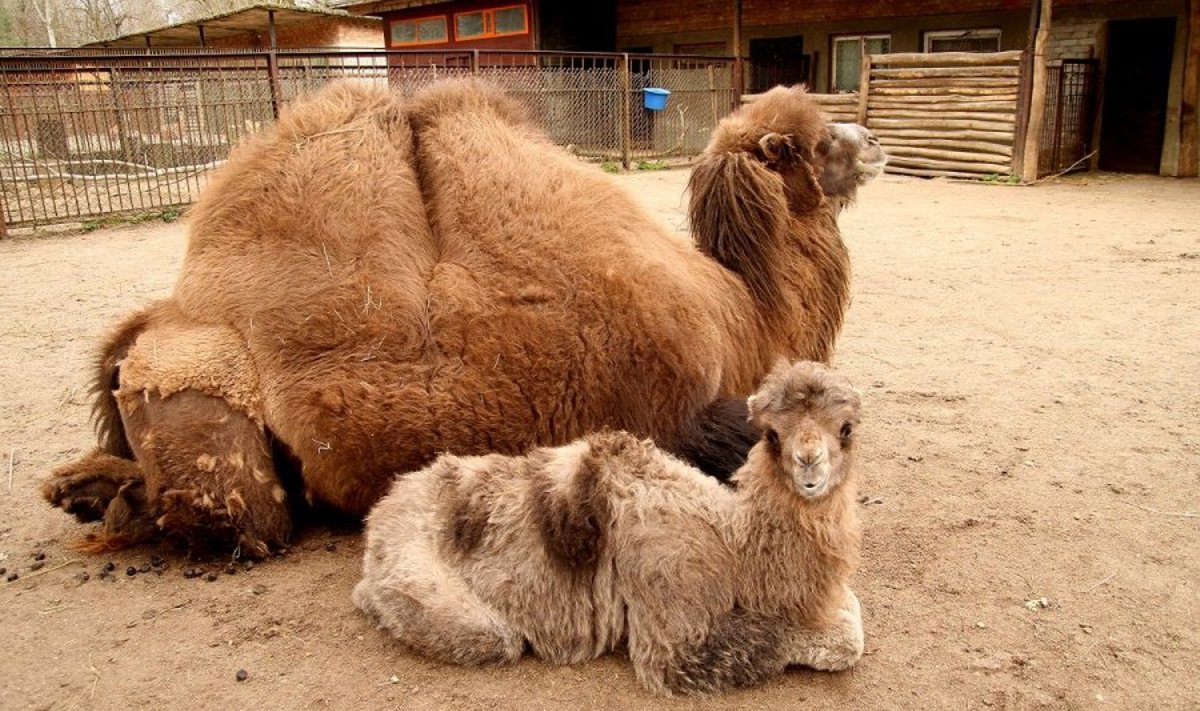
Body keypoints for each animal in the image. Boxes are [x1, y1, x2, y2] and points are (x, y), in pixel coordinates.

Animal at [42, 79, 888, 554]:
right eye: (819, 144)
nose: (876, 141)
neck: (747, 309)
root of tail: (155, 321)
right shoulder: (683, 415)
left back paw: (80, 487)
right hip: (204, 400)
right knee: (243, 520)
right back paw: (106, 499)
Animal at [350, 360, 868, 696]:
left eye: (845, 429)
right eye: (771, 434)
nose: (809, 465)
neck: (735, 544)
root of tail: (384, 508)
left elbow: (851, 616)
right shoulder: (671, 629)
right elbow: (798, 640)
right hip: (433, 584)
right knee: (487, 635)